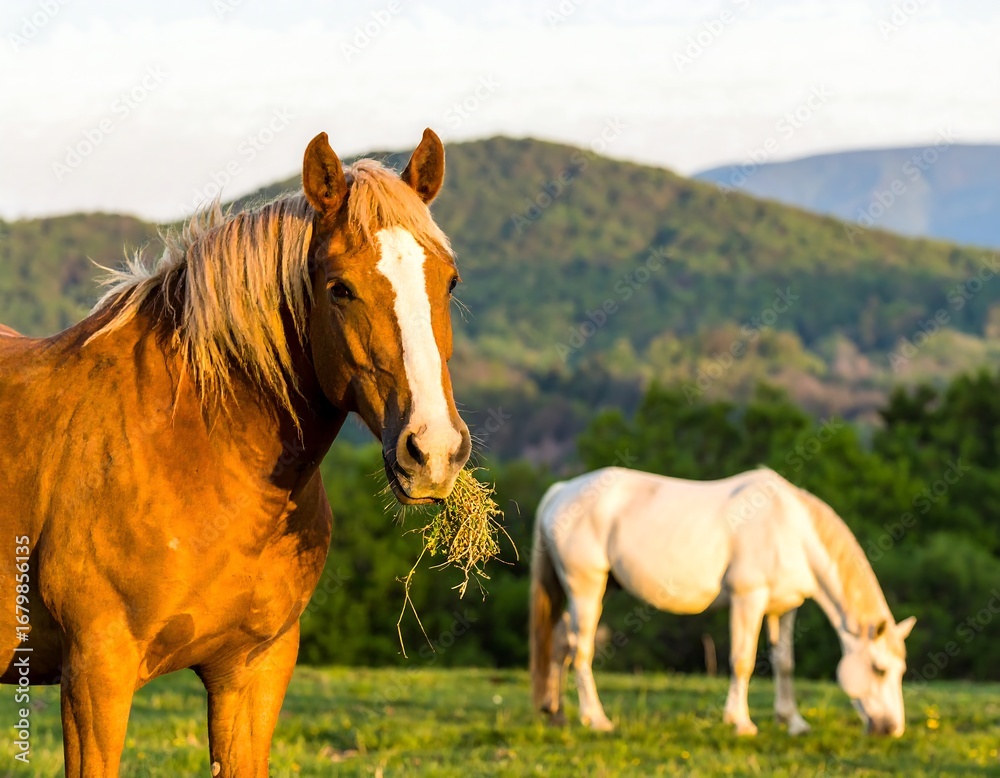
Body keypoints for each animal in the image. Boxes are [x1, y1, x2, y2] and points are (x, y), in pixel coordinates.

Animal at [0, 129, 471, 777]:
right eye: (340, 288)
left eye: (448, 280)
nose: (433, 450)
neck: (192, 452)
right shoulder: (96, 674)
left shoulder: (253, 670)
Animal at [530, 466, 916, 737]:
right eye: (879, 669)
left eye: (899, 672)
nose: (892, 730)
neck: (793, 530)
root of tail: (561, 492)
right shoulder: (749, 599)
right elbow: (743, 661)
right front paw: (740, 723)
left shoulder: (785, 608)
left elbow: (784, 663)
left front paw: (792, 722)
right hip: (587, 588)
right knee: (581, 648)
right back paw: (596, 719)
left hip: (595, 588)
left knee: (560, 642)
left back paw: (556, 714)